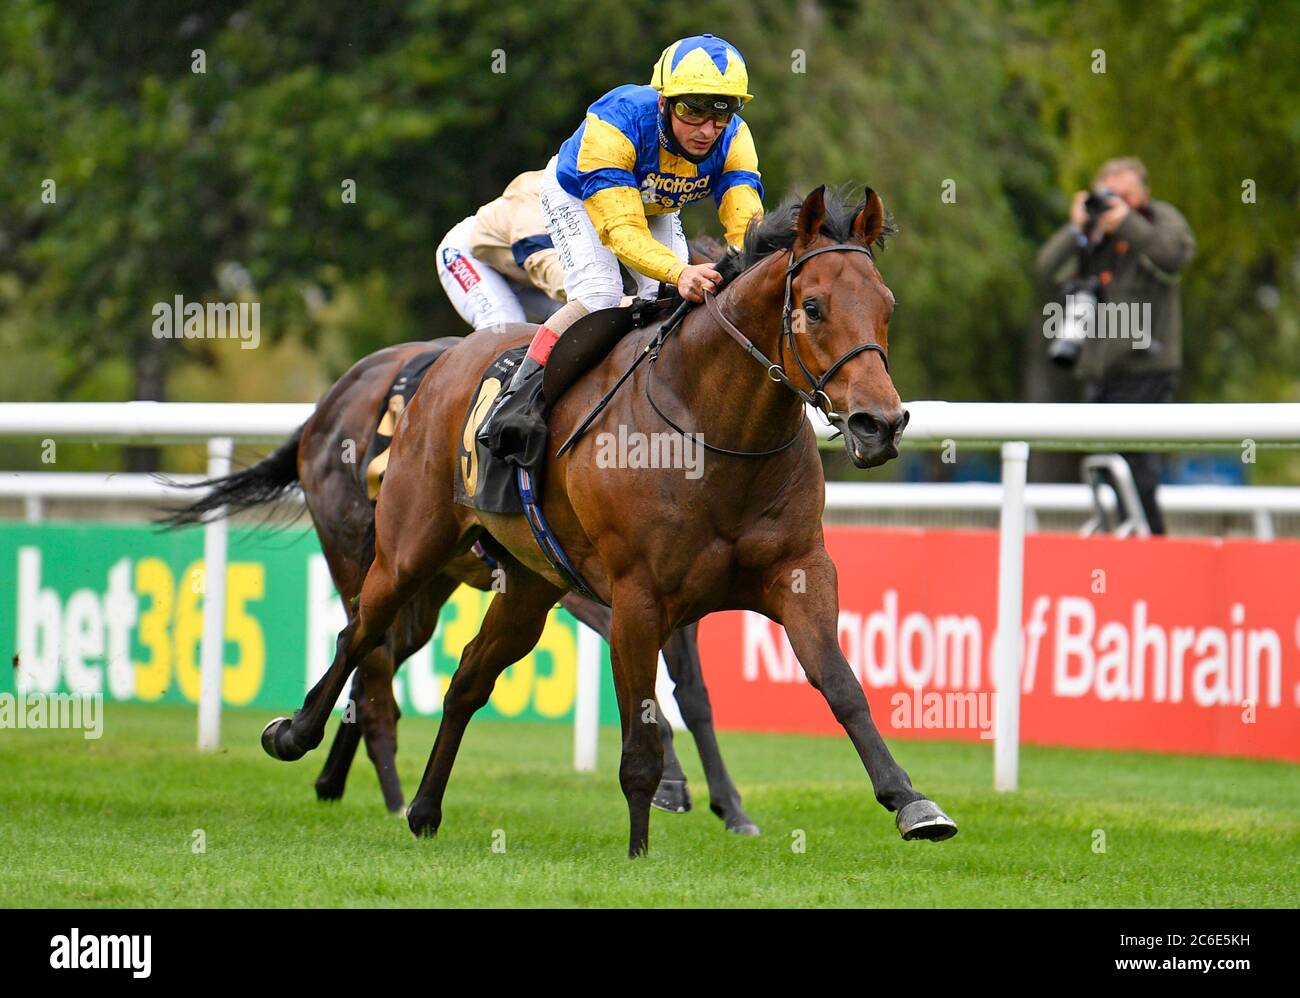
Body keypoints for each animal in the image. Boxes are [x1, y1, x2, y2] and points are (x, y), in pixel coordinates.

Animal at [171, 337, 759, 831]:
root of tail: (324, 407)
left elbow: (693, 693)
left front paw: (728, 805)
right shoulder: (590, 586)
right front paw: (673, 783)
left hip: (426, 592)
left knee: (375, 664)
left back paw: (335, 780)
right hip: (367, 553)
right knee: (369, 659)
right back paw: (388, 794)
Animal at [261, 187, 956, 857]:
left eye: (887, 306)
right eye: (812, 307)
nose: (879, 424)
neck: (711, 429)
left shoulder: (798, 572)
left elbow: (835, 683)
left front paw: (911, 802)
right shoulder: (633, 596)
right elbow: (644, 730)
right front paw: (643, 844)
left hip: (525, 585)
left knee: (463, 676)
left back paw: (420, 808)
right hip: (405, 551)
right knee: (361, 636)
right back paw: (298, 738)